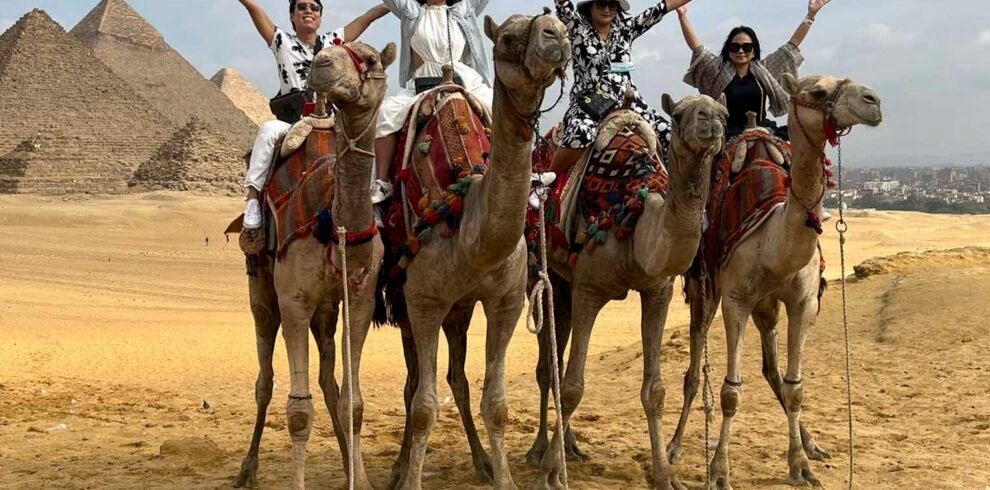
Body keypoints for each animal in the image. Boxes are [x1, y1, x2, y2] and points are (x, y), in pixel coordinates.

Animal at [231, 41, 396, 490]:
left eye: (370, 59)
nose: (321, 64)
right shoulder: (295, 302)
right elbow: (299, 412)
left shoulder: (359, 303)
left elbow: (353, 401)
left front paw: (360, 478)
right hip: (262, 293)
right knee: (265, 381)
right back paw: (247, 468)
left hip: (327, 310)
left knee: (328, 382)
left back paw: (345, 462)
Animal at [381, 11, 571, 490]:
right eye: (506, 37)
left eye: (556, 27)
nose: (556, 35)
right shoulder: (424, 301)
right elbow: (423, 406)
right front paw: (410, 480)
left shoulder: (505, 300)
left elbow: (496, 404)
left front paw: (503, 477)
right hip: (408, 306)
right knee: (413, 385)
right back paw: (398, 470)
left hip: (460, 310)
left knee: (457, 379)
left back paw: (482, 461)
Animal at [529, 93, 727, 490]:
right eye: (678, 114)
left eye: (723, 114)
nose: (711, 121)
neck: (635, 223)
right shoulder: (589, 288)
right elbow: (573, 387)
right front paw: (549, 473)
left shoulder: (658, 290)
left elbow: (655, 391)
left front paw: (666, 475)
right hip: (541, 268)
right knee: (548, 366)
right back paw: (540, 449)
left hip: (565, 282)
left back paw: (570, 447)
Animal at [664, 74, 883, 489]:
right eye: (817, 92)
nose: (873, 101)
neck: (775, 240)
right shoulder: (735, 300)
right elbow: (731, 392)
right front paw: (719, 471)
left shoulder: (803, 303)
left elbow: (795, 387)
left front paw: (801, 466)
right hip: (706, 290)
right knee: (692, 369)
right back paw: (674, 448)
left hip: (767, 308)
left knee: (772, 370)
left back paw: (812, 443)